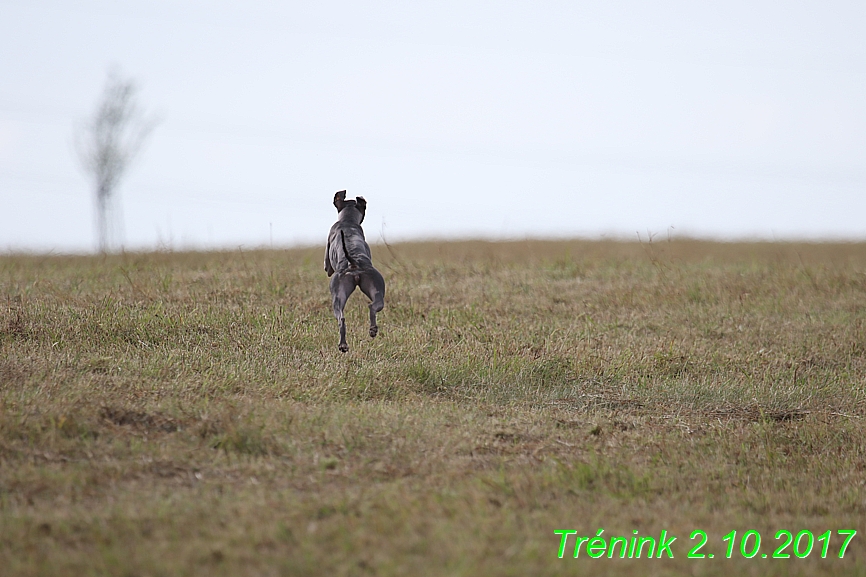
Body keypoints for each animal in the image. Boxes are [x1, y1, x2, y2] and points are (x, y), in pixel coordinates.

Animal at [324, 189, 384, 352]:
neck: (347, 221)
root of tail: (354, 264)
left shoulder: (327, 266)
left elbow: (327, 268)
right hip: (369, 290)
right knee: (368, 308)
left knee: (350, 315)